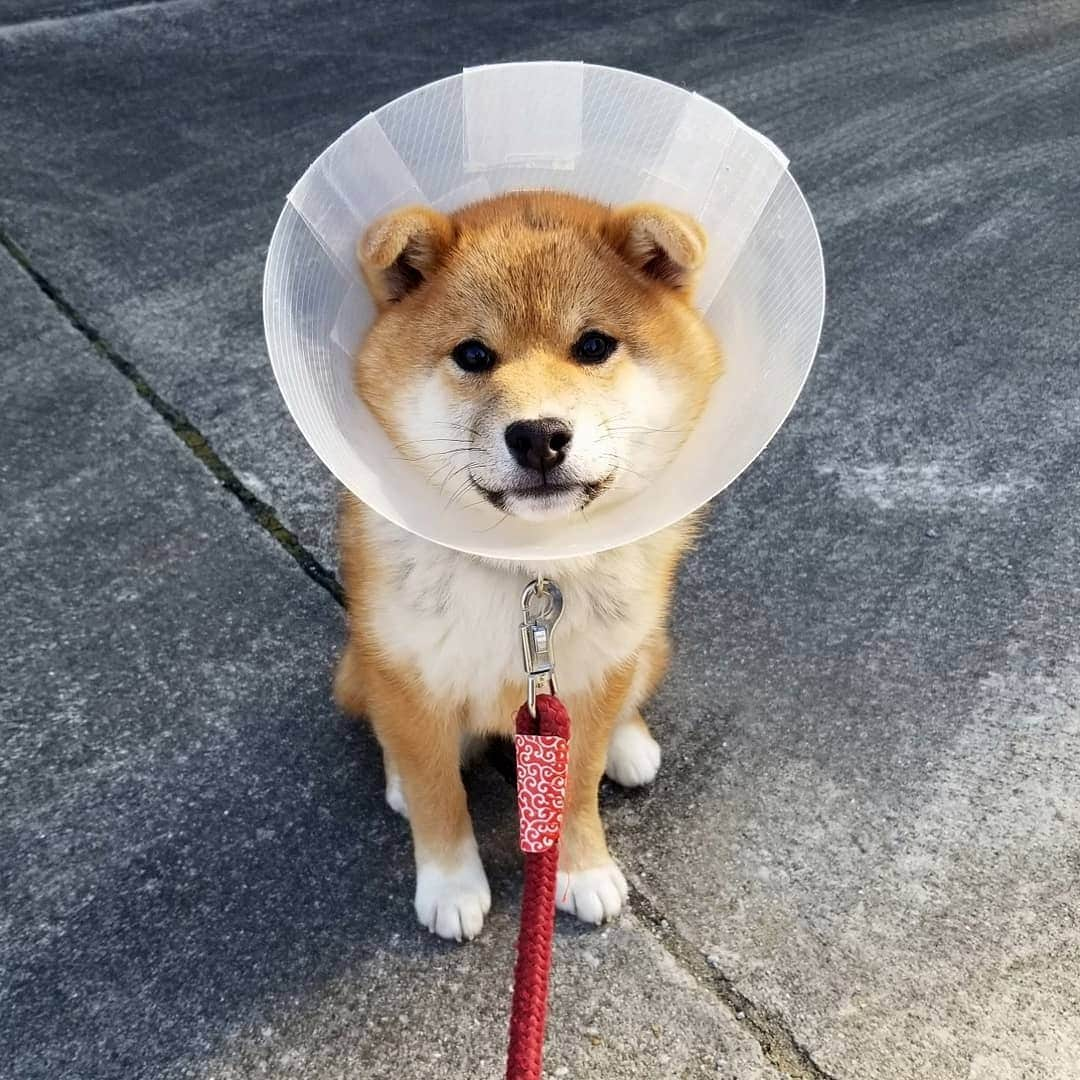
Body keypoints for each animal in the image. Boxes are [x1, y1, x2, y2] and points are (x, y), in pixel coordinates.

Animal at [332, 190, 721, 941]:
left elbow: (576, 787)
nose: (539, 436)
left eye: (593, 345)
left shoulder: (590, 677)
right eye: (473, 354)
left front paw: (583, 869)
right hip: (361, 662)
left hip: (644, 644)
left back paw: (631, 745)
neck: (526, 566)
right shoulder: (409, 670)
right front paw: (450, 885)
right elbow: (438, 792)